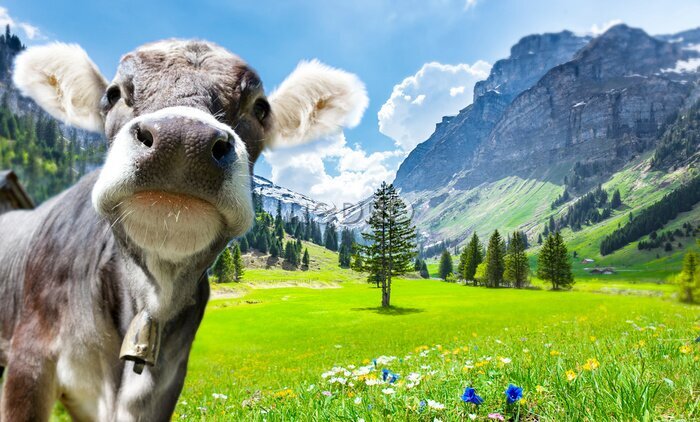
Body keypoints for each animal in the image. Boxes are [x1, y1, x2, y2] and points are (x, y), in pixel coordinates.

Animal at [0, 39, 367, 421]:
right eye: (113, 94)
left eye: (260, 108)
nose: (181, 139)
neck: (151, 299)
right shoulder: (30, 357)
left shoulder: (165, 383)